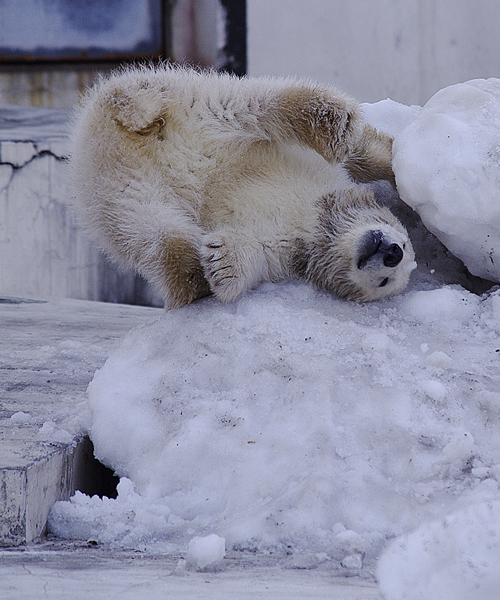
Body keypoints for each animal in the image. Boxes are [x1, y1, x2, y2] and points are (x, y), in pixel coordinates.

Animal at [70, 64, 414, 310]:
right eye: (402, 240)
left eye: (385, 282)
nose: (392, 252)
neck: (316, 216)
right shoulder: (326, 175)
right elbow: (363, 152)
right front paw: (393, 162)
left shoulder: (289, 252)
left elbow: (254, 252)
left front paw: (221, 264)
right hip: (200, 111)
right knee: (249, 104)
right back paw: (329, 120)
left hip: (125, 189)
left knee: (148, 228)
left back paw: (190, 274)